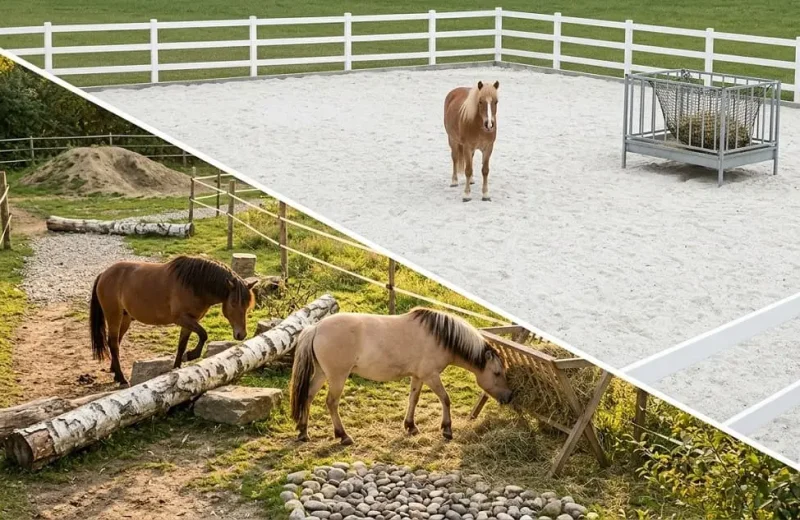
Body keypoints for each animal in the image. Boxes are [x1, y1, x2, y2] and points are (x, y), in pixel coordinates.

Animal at [89, 255, 257, 386]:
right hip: (114, 316)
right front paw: (191, 355)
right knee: (113, 343)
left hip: (125, 319)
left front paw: (177, 367)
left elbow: (182, 345)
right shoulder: (182, 319)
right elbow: (204, 334)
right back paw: (122, 378)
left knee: (116, 342)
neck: (194, 284)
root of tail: (104, 274)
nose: (241, 334)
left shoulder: (190, 321)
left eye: (247, 305)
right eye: (234, 303)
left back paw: (115, 372)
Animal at [289, 307, 513, 445]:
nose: (509, 397)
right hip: (337, 376)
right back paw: (343, 436)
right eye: (497, 373)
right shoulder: (431, 376)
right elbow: (446, 399)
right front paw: (447, 429)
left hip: (321, 373)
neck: (440, 336)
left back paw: (303, 431)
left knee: (308, 395)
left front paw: (411, 426)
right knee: (331, 402)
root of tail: (316, 327)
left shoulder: (418, 377)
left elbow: (413, 398)